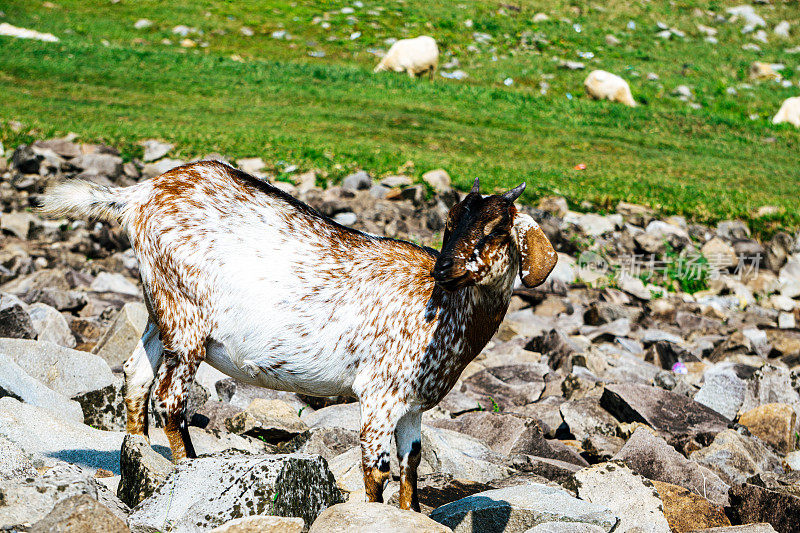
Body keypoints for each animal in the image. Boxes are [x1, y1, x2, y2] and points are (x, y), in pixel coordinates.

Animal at [39, 162, 556, 512]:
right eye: (449, 224)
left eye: (497, 229)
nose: (445, 268)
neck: (444, 311)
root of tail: (140, 193)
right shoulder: (380, 393)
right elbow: (377, 468)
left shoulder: (412, 405)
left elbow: (411, 466)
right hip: (187, 318)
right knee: (169, 397)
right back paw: (186, 467)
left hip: (157, 306)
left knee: (135, 374)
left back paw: (139, 457)